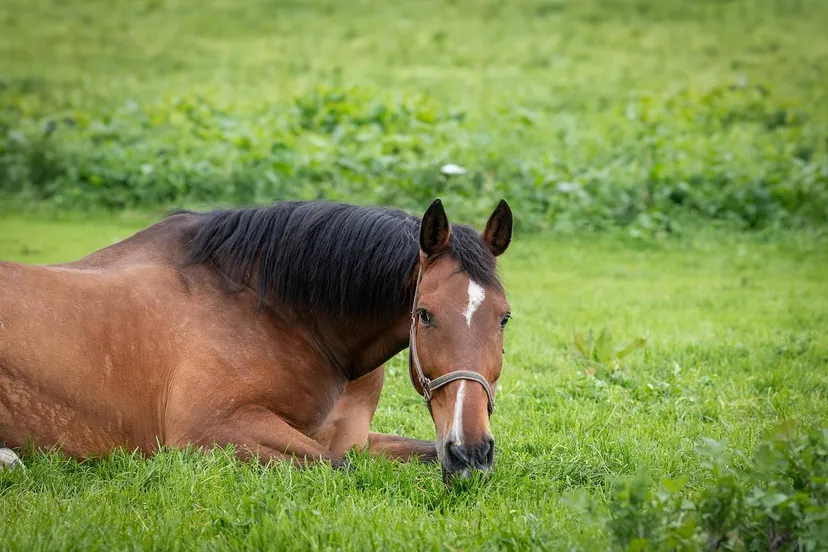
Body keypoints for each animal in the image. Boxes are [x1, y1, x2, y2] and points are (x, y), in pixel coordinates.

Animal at [0, 198, 513, 482]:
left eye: (504, 318)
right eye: (424, 315)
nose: (470, 452)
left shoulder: (353, 438)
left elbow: (412, 452)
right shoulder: (213, 433)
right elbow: (340, 467)